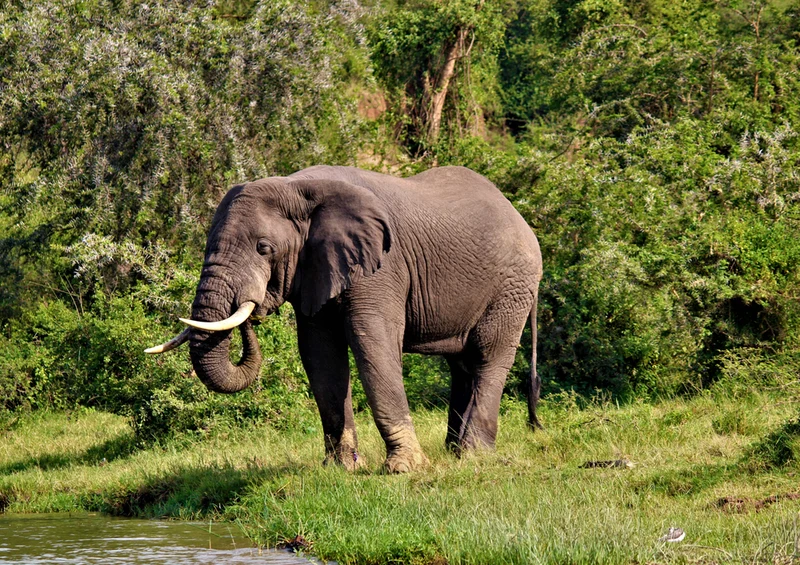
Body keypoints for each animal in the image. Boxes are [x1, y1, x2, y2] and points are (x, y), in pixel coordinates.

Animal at [146, 165, 543, 473]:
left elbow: (373, 343)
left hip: (513, 285)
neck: (297, 188)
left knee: (488, 356)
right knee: (460, 365)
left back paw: (473, 456)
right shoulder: (315, 268)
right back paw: (453, 452)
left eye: (264, 248)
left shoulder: (382, 267)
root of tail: (518, 215)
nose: (251, 314)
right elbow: (319, 354)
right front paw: (342, 468)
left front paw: (404, 469)